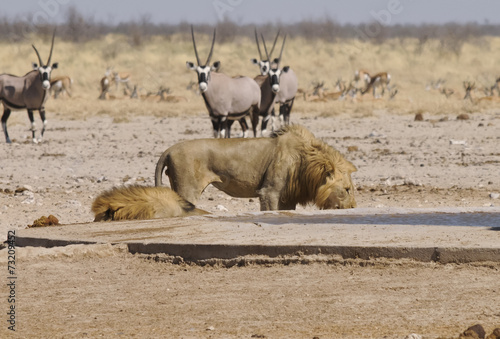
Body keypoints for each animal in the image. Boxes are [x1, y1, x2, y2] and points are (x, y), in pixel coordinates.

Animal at [155, 125, 356, 210]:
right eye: (346, 189)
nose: (353, 207)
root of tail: (168, 150)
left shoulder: (288, 197)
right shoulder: (269, 192)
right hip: (187, 189)